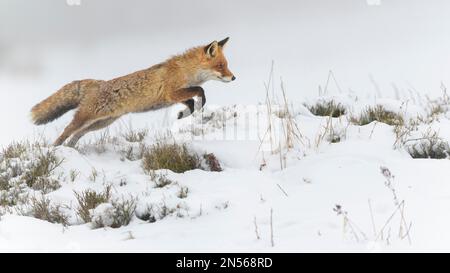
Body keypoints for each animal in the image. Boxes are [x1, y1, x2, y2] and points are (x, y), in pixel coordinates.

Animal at [30, 37, 236, 147]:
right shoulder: (171, 93)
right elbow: (200, 90)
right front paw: (192, 108)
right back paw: (55, 150)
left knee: (76, 135)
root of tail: (96, 83)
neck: (186, 71)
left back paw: (72, 150)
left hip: (101, 123)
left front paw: (184, 113)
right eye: (220, 66)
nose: (234, 78)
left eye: (226, 65)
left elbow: (192, 101)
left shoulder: (175, 97)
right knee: (67, 131)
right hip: (86, 119)